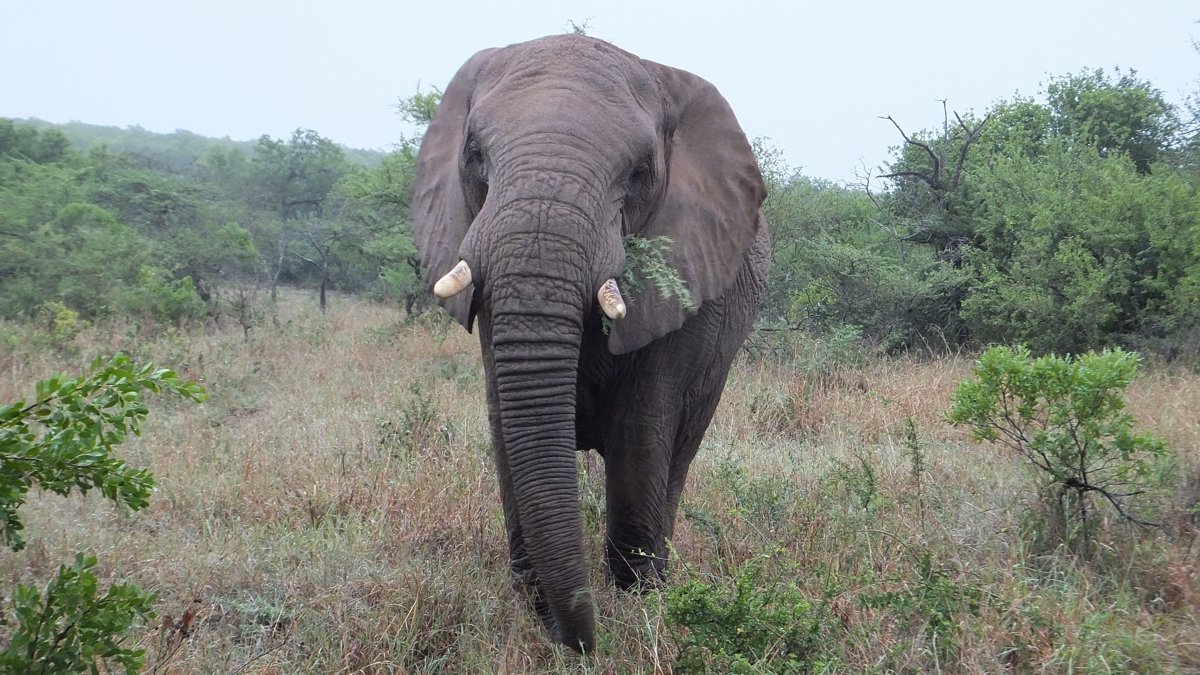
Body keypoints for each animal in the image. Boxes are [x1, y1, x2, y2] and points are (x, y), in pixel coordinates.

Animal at [411, 34, 769, 652]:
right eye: (475, 153)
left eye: (640, 171)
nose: (580, 644)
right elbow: (507, 424)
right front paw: (535, 605)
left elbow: (640, 432)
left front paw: (637, 604)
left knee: (678, 454)